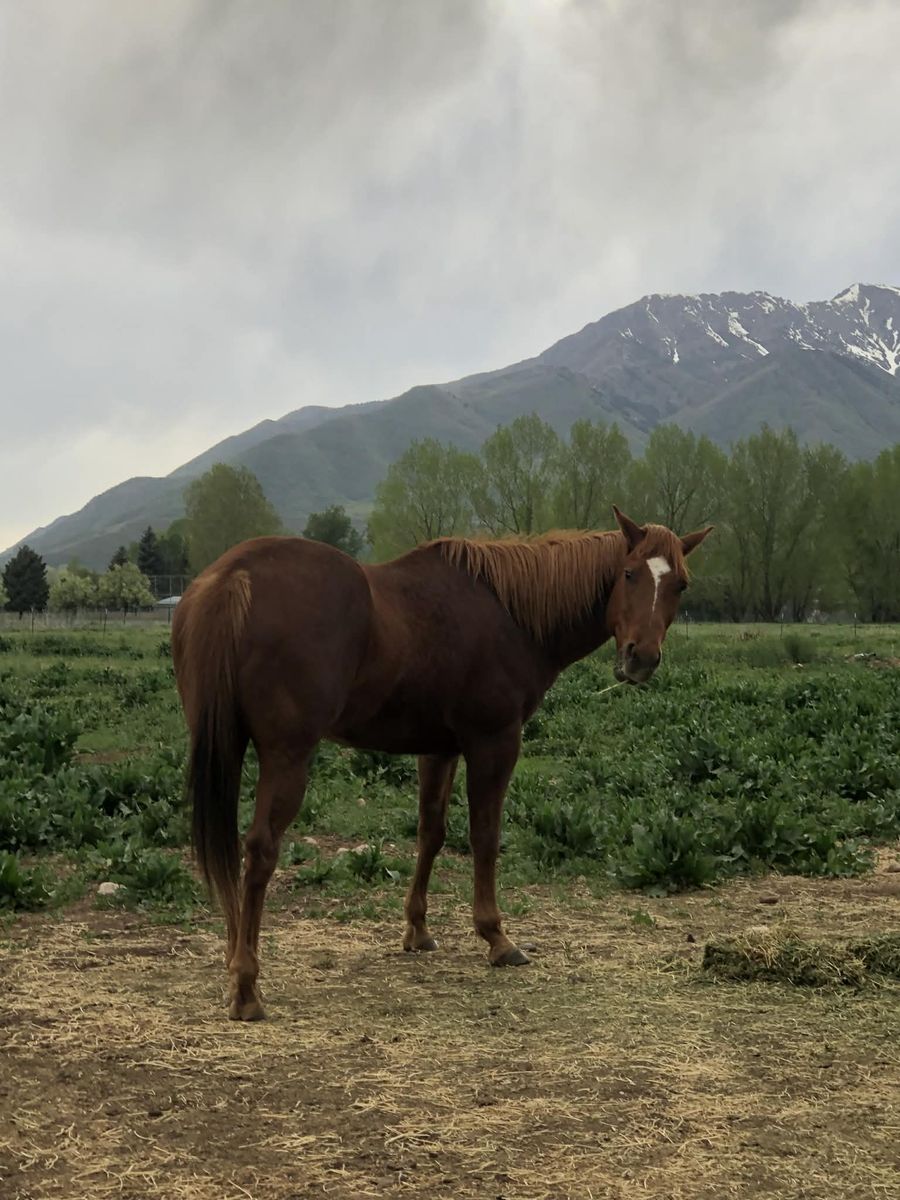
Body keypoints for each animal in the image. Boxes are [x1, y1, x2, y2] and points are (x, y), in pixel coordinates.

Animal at [172, 507, 711, 1019]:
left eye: (681, 584)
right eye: (628, 574)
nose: (641, 658)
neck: (510, 612)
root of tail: (234, 576)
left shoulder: (439, 748)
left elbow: (430, 832)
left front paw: (417, 929)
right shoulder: (494, 742)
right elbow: (485, 836)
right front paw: (496, 937)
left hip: (228, 747)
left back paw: (234, 960)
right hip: (288, 758)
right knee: (261, 850)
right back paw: (246, 984)